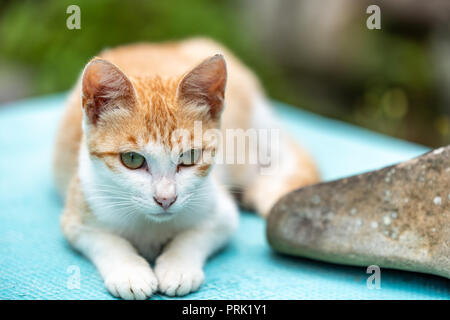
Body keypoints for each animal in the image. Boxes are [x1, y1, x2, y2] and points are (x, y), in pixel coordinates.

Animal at [53, 38, 320, 300]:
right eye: (132, 159)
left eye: (190, 156)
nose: (165, 199)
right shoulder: (79, 211)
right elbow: (105, 240)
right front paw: (129, 271)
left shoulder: (222, 212)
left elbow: (196, 235)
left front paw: (177, 267)